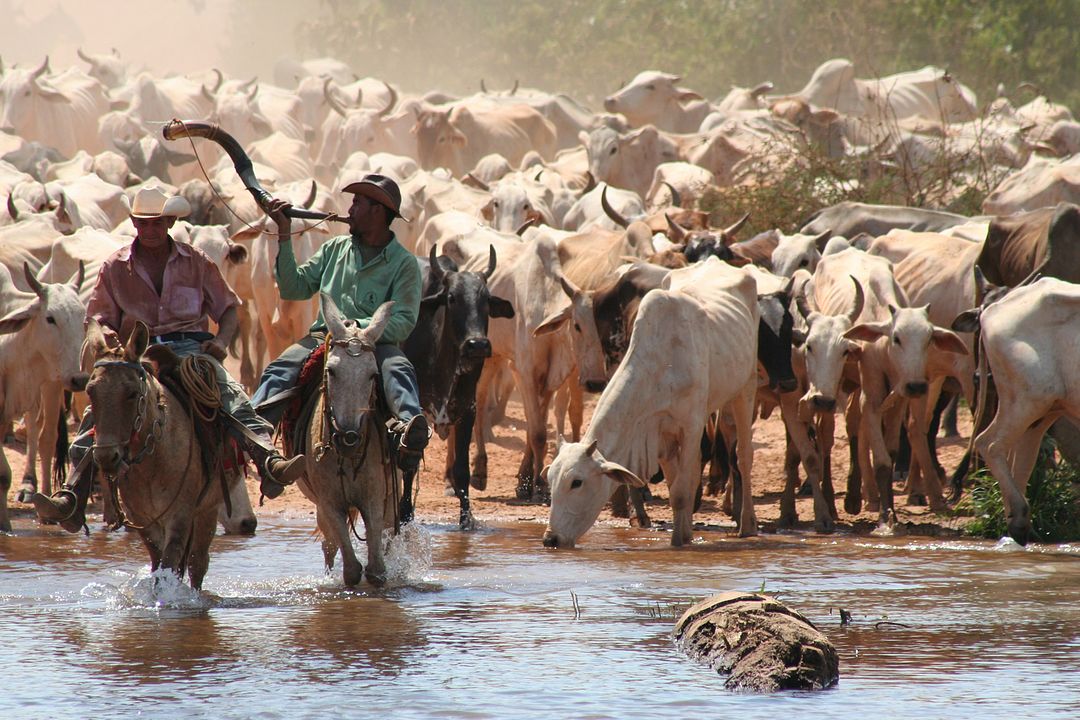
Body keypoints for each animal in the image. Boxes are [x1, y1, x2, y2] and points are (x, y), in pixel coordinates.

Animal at [401, 245, 514, 526]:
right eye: (452, 298)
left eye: (486, 299)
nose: (477, 345)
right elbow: (409, 465)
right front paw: (404, 514)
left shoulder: (467, 409)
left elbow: (462, 470)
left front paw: (467, 519)